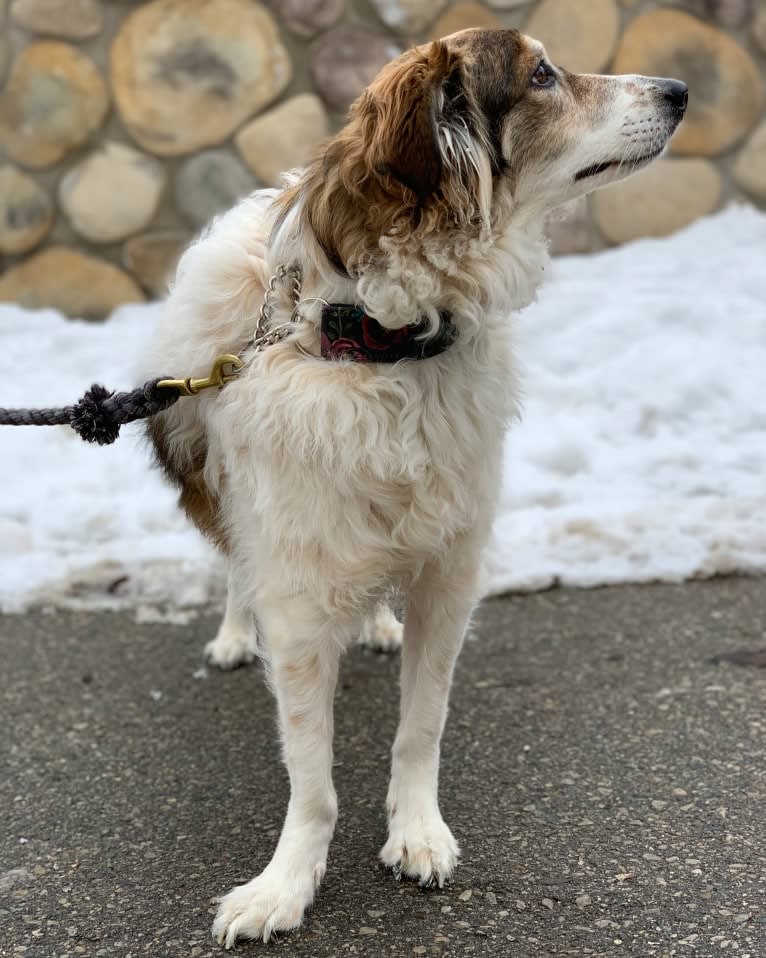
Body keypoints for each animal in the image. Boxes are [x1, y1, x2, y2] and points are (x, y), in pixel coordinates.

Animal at [140, 30, 688, 952]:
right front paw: (286, 883)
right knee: (238, 568)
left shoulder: (449, 570)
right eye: (542, 75)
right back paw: (234, 633)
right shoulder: (298, 591)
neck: (387, 346)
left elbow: (420, 725)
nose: (682, 90)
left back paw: (375, 626)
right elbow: (312, 774)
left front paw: (417, 832)